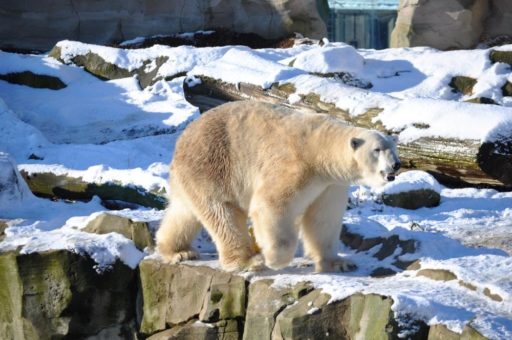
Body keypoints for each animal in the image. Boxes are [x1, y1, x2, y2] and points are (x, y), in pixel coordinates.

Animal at [156, 99, 400, 272]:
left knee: (184, 212)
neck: (319, 148)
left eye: (393, 148)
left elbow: (323, 219)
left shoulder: (330, 185)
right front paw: (274, 259)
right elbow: (270, 205)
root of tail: (182, 140)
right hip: (213, 166)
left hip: (193, 176)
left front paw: (338, 262)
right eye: (378, 149)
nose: (396, 165)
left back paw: (178, 252)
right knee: (223, 214)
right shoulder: (294, 165)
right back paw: (246, 261)